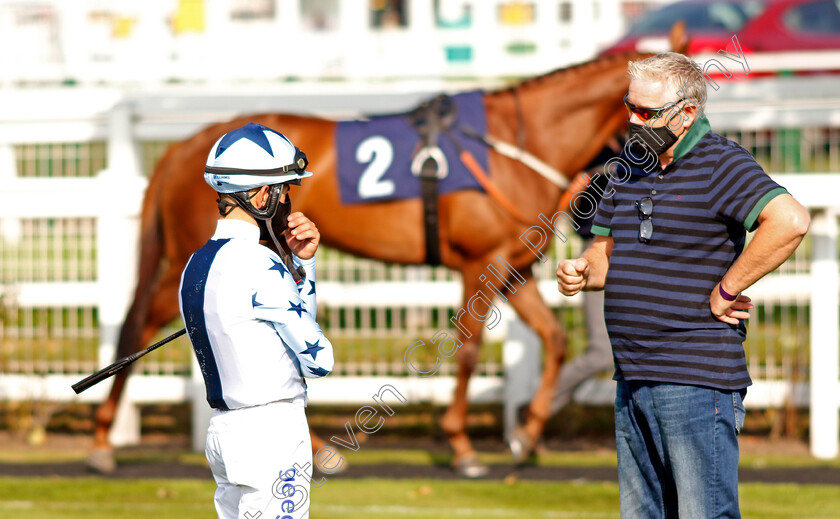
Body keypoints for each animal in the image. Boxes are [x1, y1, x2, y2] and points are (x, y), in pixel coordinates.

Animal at [92, 43, 684, 476]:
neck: (516, 145)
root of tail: (182, 148)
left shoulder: (512, 267)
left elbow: (555, 339)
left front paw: (526, 434)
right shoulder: (478, 263)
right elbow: (469, 351)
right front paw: (462, 447)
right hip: (190, 257)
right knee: (139, 326)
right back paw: (102, 439)